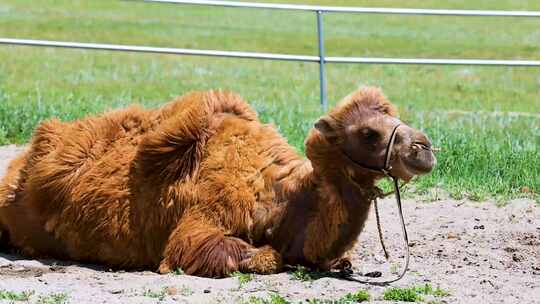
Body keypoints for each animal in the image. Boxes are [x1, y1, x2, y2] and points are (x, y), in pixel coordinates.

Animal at [0, 87, 434, 278]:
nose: (424, 148)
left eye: (393, 116)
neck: (281, 202)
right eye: (368, 133)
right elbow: (256, 255)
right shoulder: (202, 223)